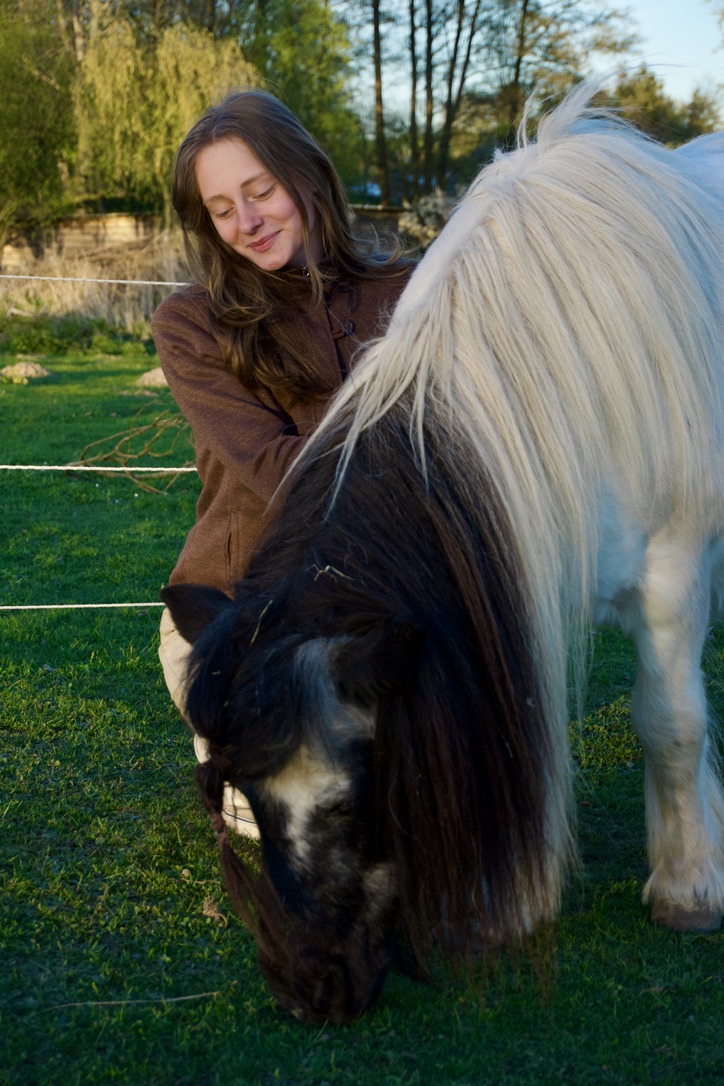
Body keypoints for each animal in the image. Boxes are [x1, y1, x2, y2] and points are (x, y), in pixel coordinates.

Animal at [161, 83, 724, 1025]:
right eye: (245, 803)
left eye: (351, 802)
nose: (312, 991)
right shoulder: (511, 573)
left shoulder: (672, 578)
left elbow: (670, 723)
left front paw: (687, 888)